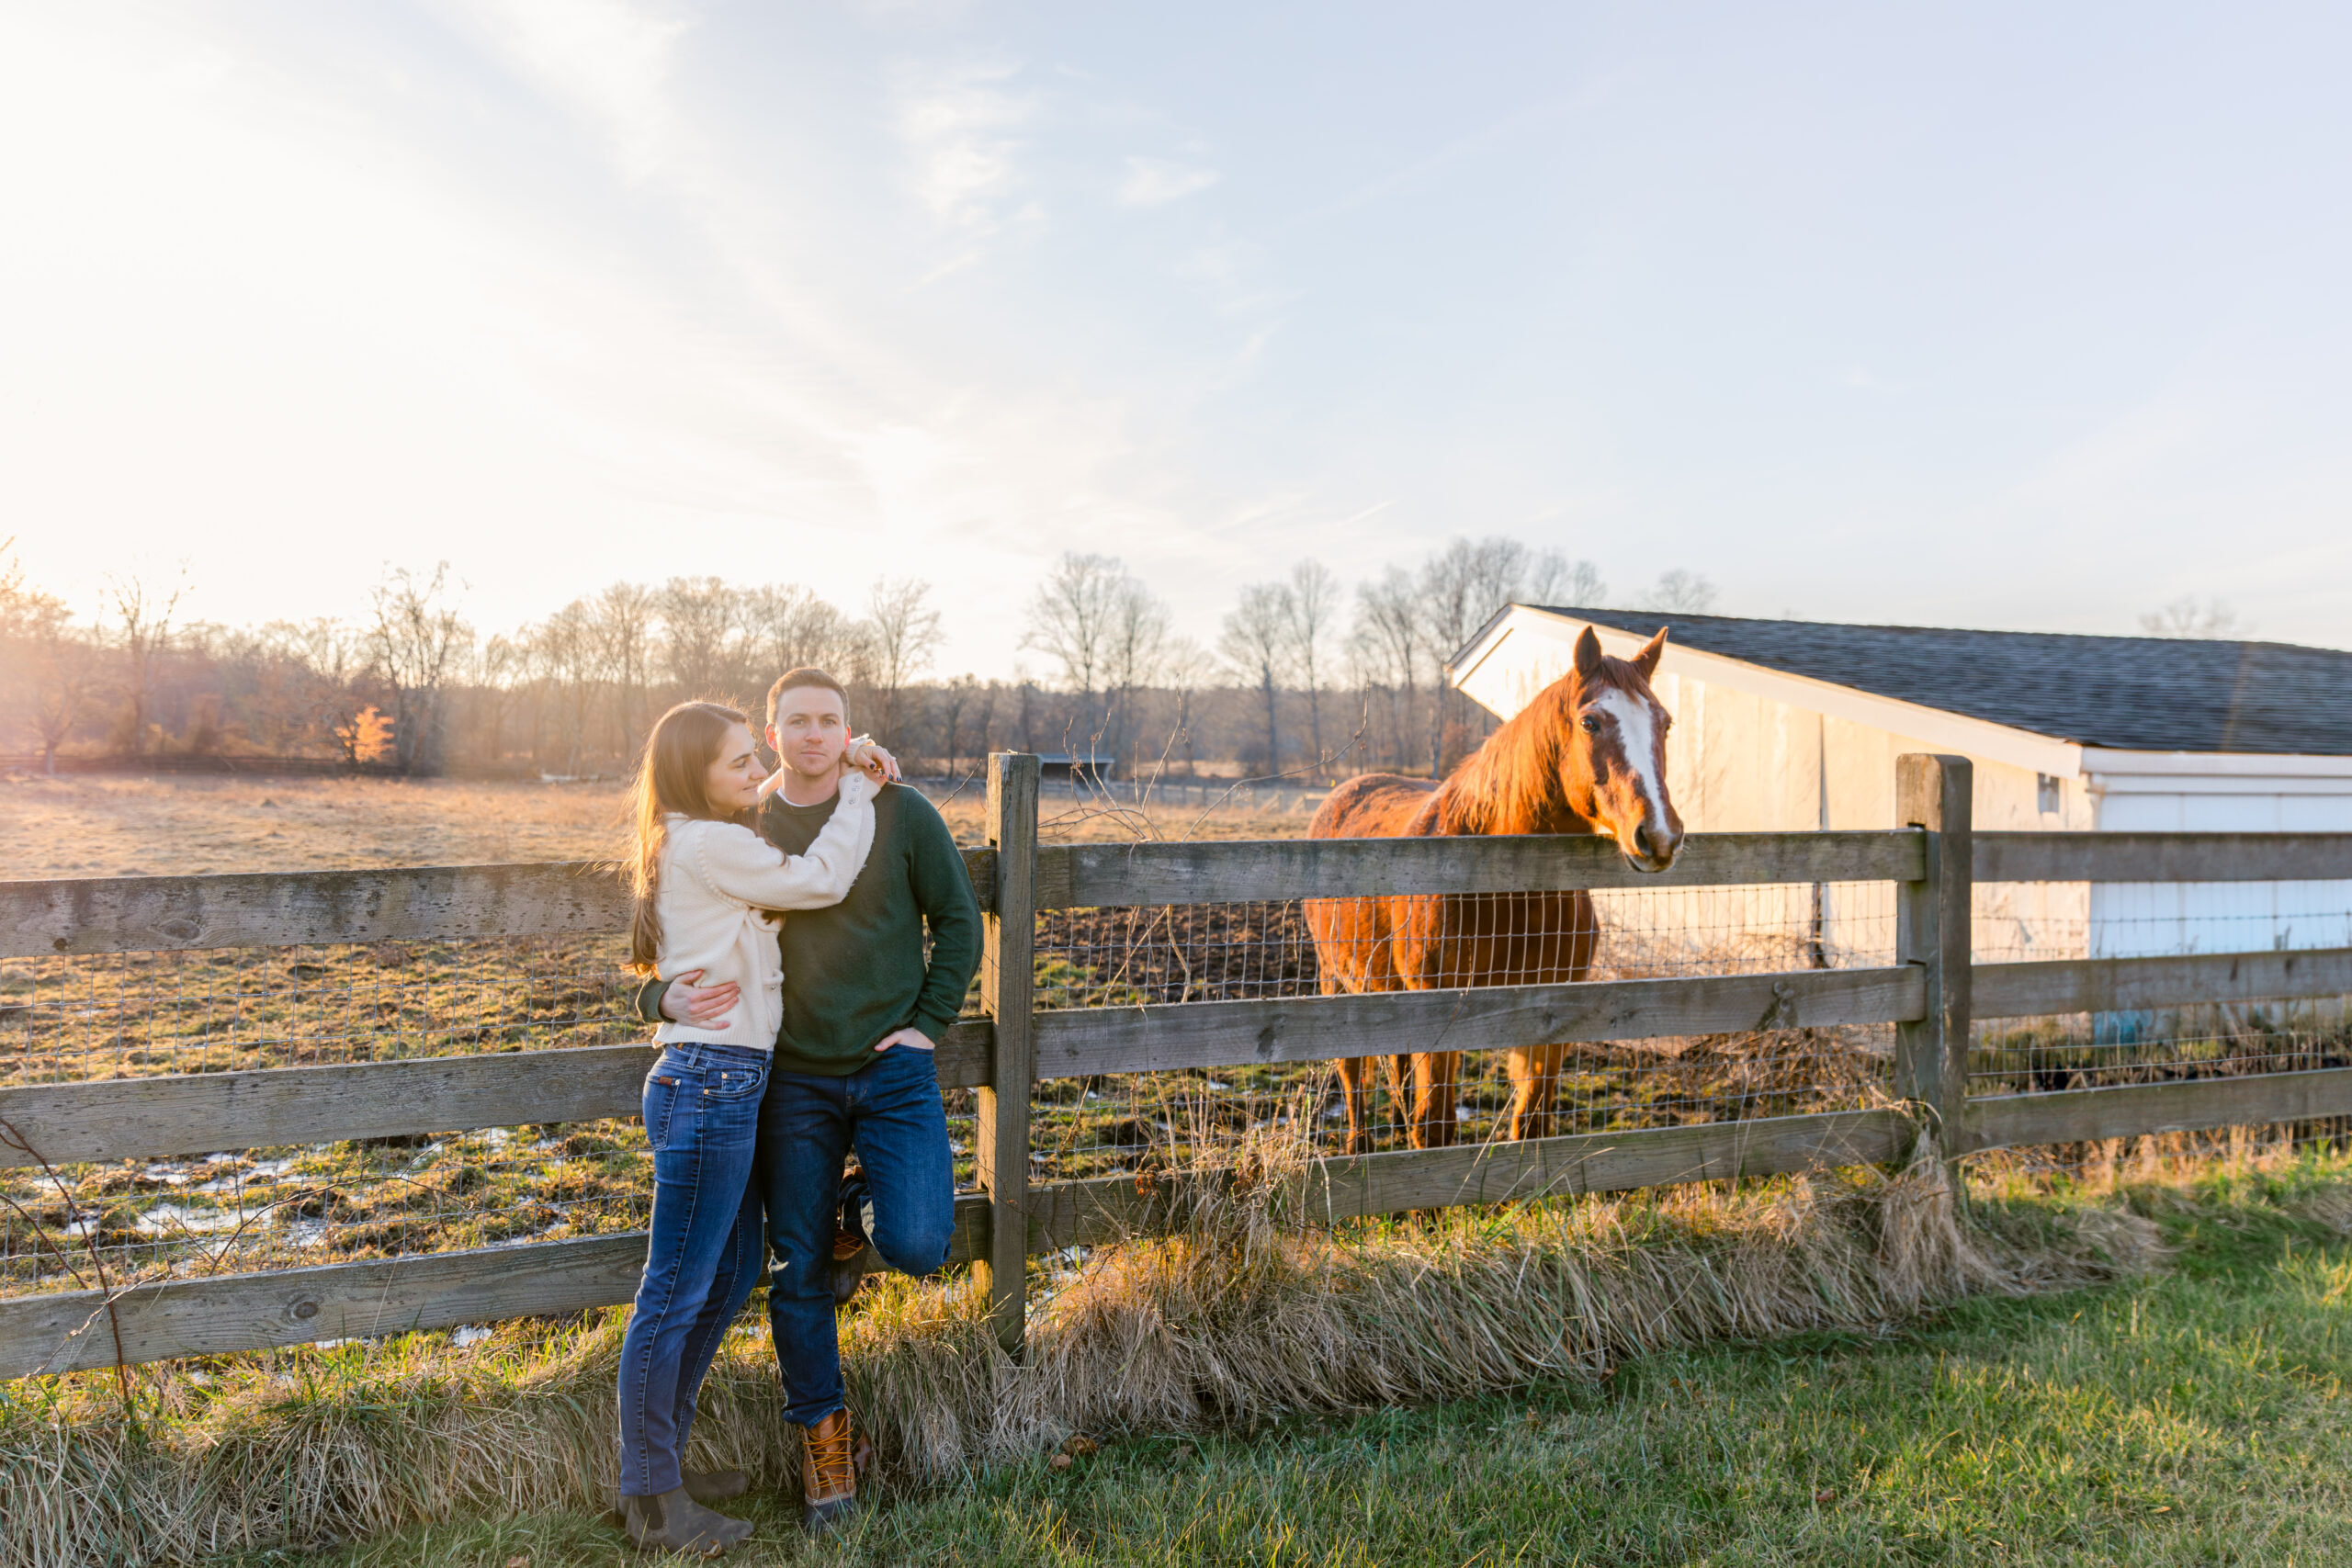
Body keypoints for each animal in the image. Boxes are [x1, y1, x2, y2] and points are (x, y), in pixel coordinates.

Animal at [1317, 620, 1683, 1152]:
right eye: (1590, 722)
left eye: (1665, 723)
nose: (1658, 835)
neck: (1504, 891)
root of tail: (1343, 793)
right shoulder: (1439, 1015)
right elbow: (1435, 1126)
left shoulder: (1551, 1010)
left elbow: (1529, 1122)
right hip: (1337, 980)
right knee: (1352, 1074)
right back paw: (1358, 1149)